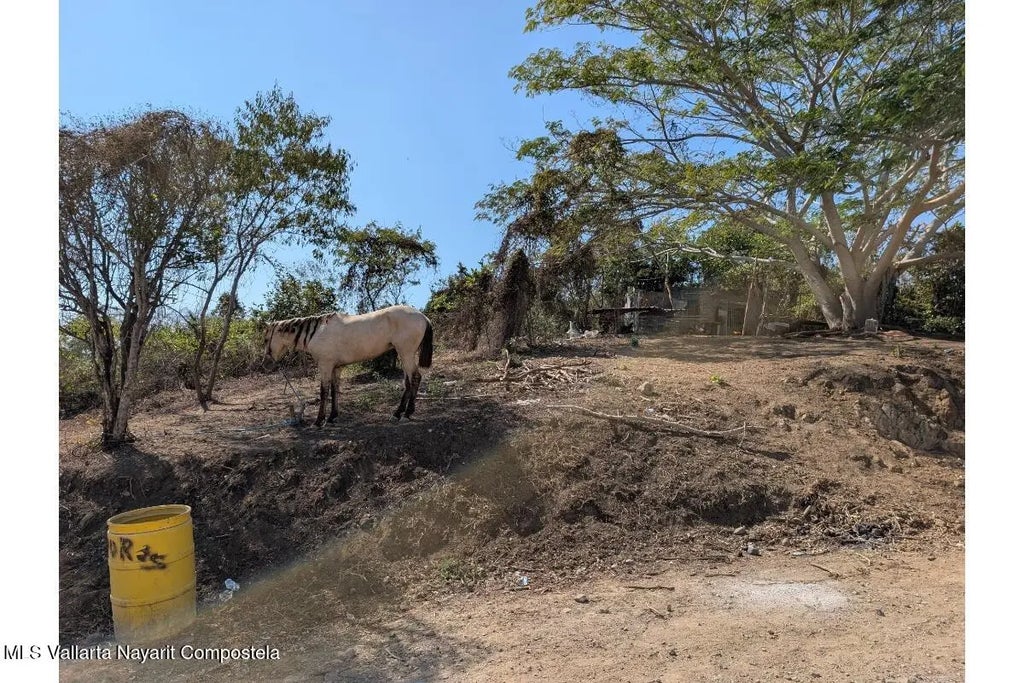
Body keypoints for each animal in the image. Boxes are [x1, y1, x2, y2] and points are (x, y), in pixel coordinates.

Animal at [263, 305, 434, 426]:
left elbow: (324, 392)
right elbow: (334, 391)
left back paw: (407, 414)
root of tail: (423, 316)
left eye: (265, 339)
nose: (265, 364)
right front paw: (332, 417)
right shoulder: (336, 367)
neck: (317, 332)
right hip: (404, 354)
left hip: (406, 353)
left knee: (415, 378)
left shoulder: (325, 366)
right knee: (408, 382)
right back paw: (398, 414)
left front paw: (319, 421)